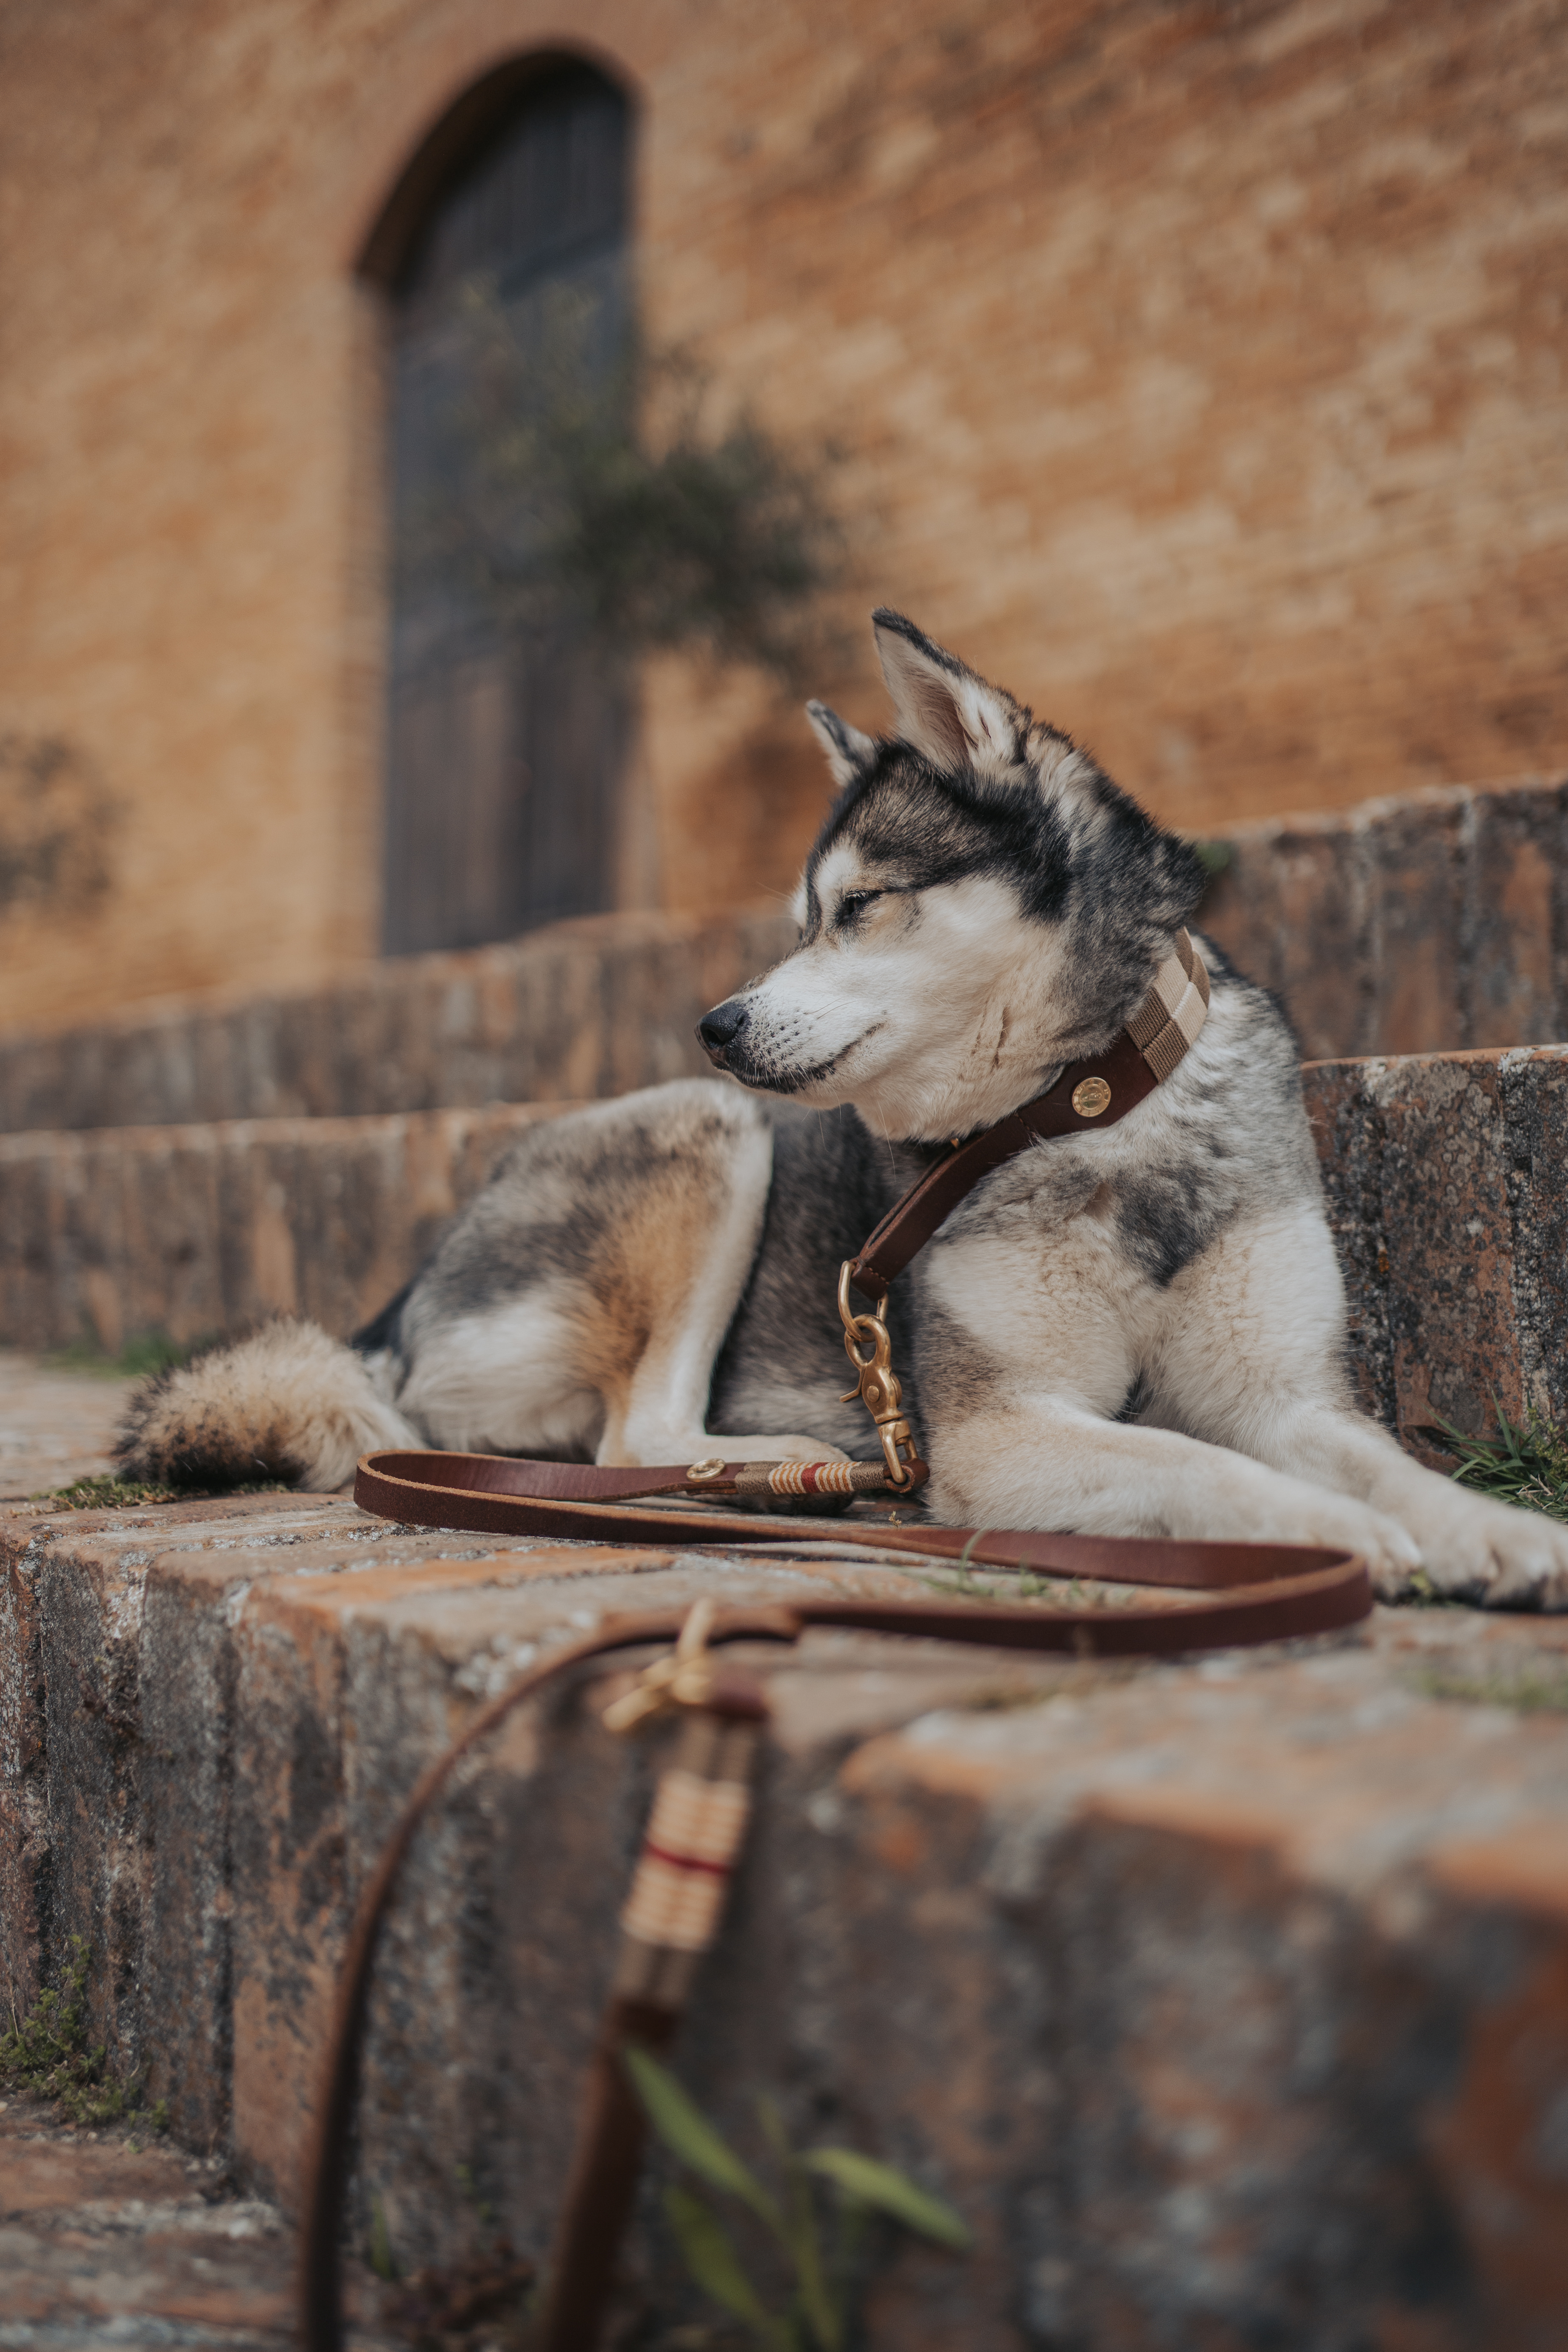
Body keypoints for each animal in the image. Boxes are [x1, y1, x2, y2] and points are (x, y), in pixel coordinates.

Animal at [123, 607, 1568, 1609]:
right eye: (796, 918)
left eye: (859, 904)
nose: (715, 1020)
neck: (1085, 1111)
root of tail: (402, 1300)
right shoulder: (995, 1431)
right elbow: (1210, 1469)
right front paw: (1339, 1535)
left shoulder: (1281, 1389)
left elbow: (1374, 1457)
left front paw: (1497, 1531)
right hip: (710, 1131)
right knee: (633, 1433)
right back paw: (770, 1464)